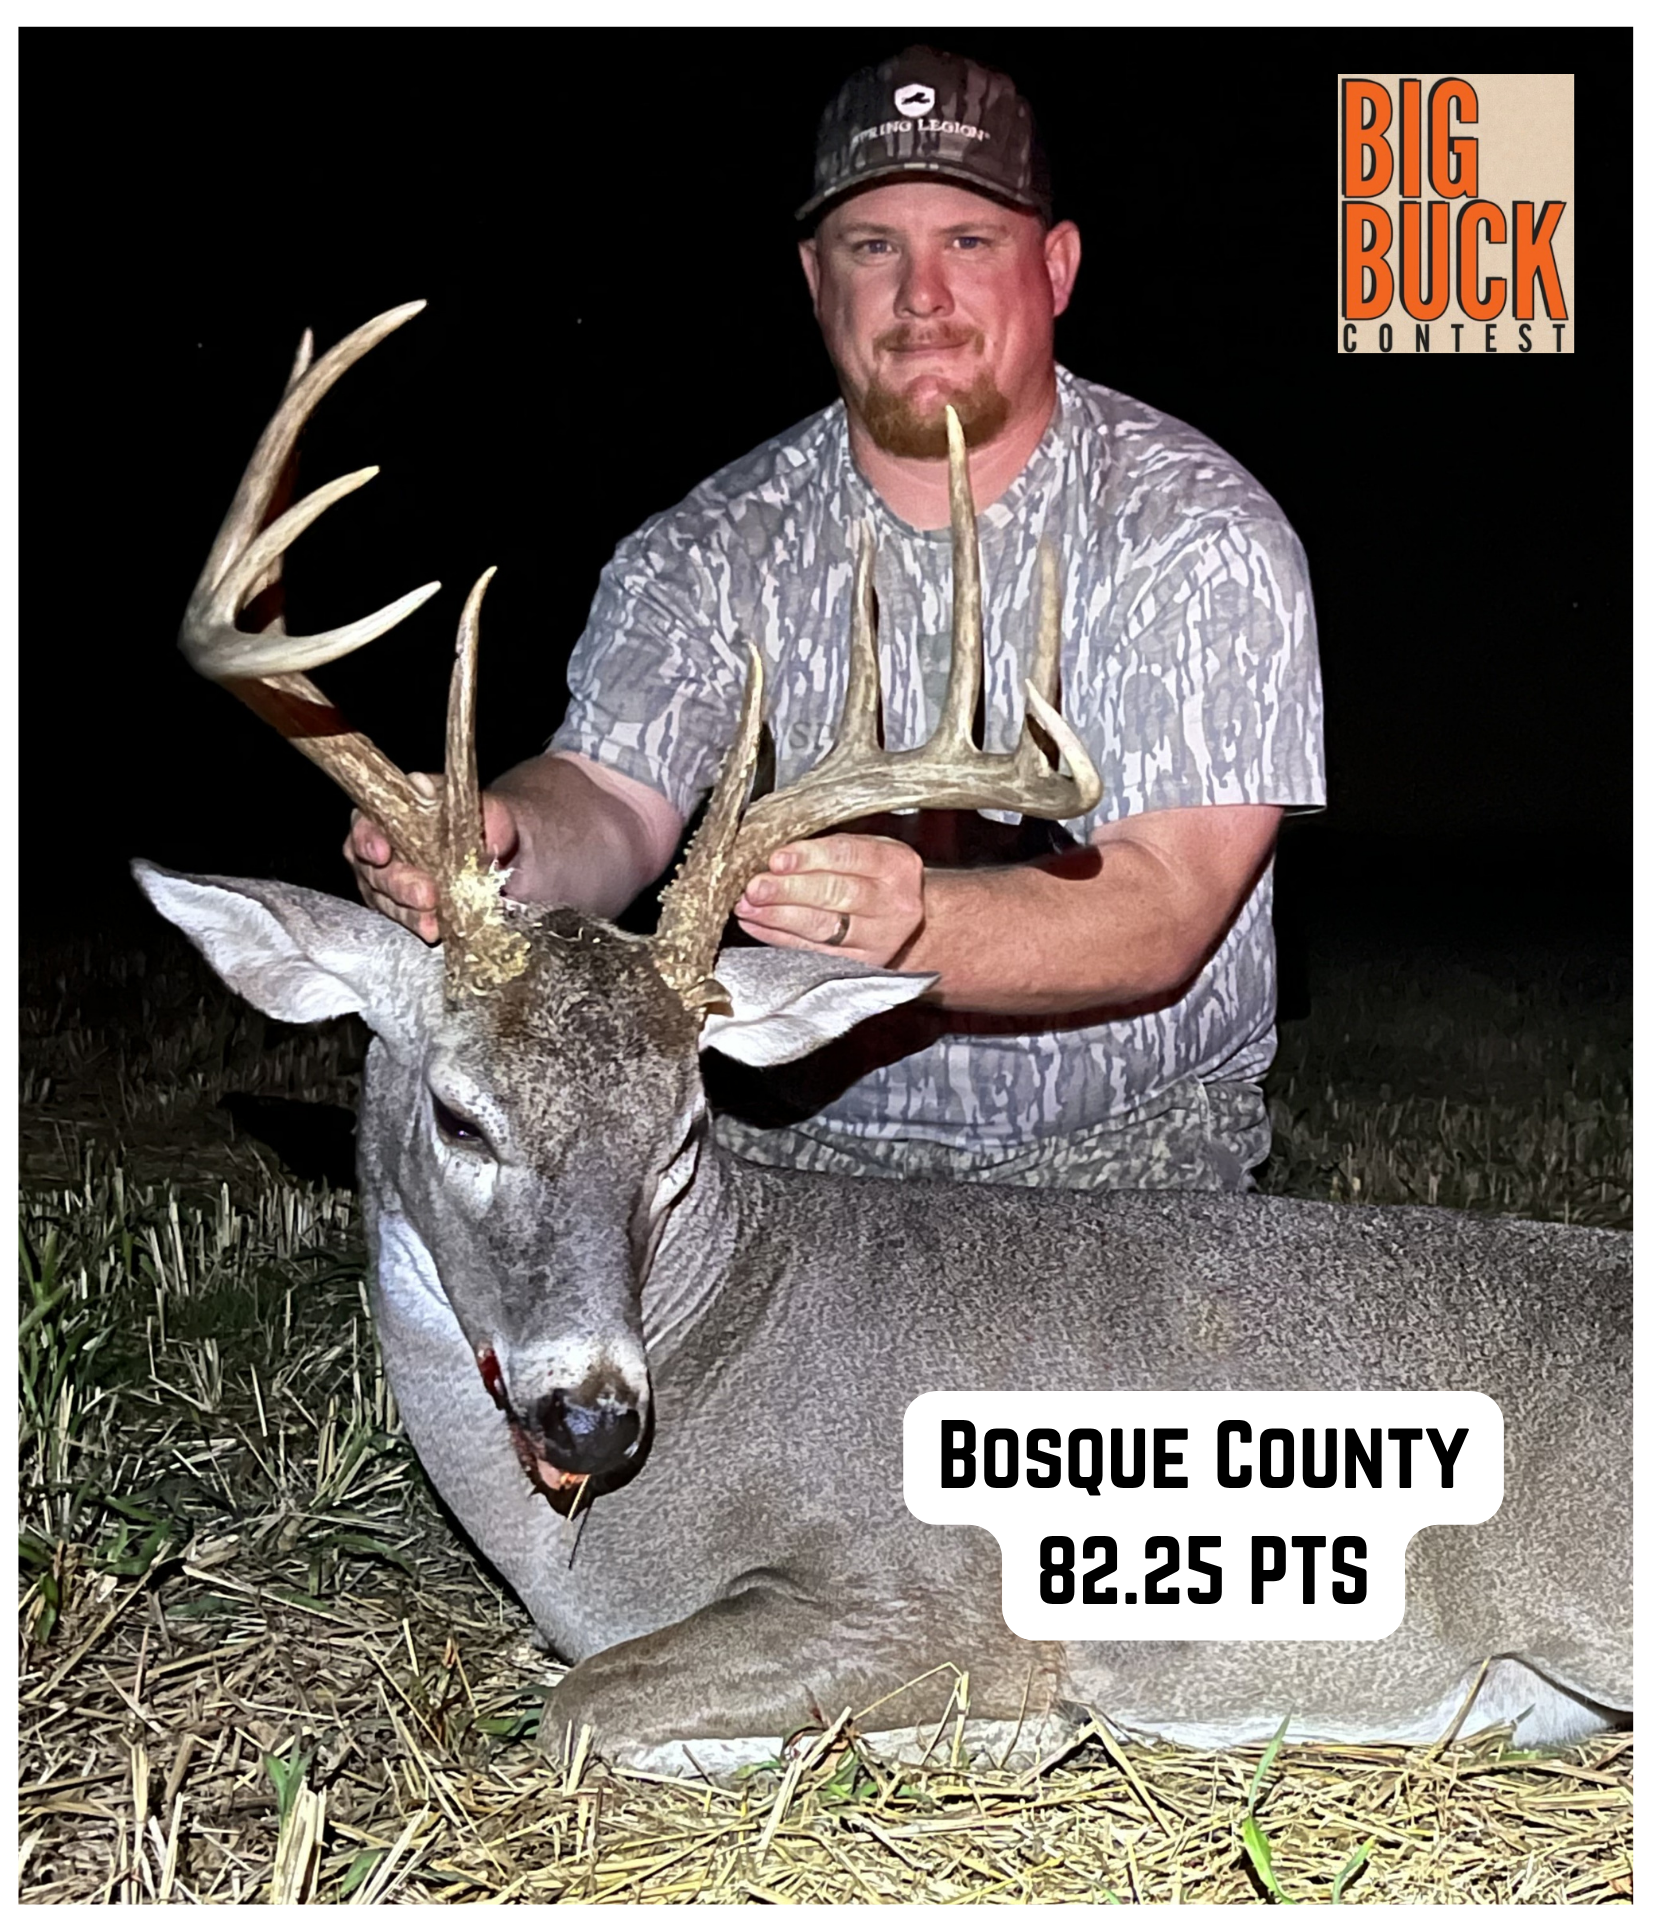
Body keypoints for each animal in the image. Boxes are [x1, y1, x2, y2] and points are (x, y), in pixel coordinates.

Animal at [135, 303, 1631, 1779]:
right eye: (459, 1115)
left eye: (683, 1137)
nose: (592, 1416)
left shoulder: (931, 1590)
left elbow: (584, 1708)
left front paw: (988, 1734)